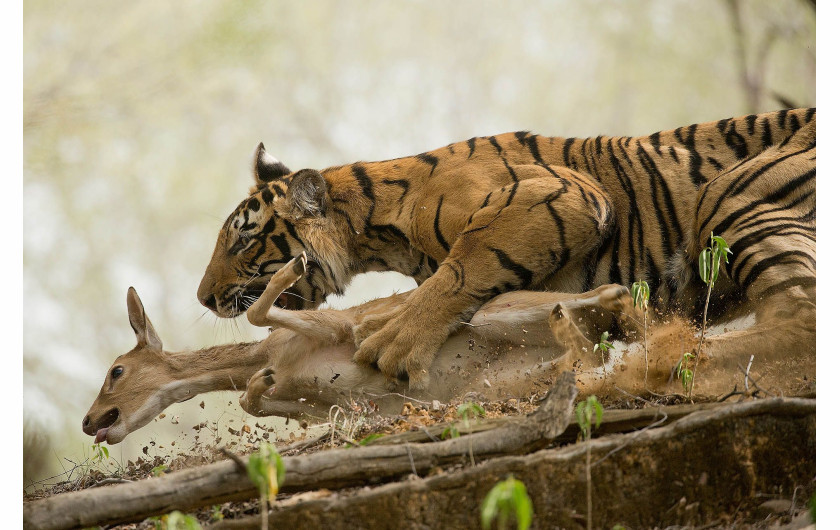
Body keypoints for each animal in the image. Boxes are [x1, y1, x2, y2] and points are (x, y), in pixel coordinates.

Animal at [85, 254, 640, 444]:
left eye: (116, 370)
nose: (91, 422)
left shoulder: (338, 326)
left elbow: (260, 314)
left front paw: (293, 267)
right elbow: (253, 399)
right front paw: (262, 385)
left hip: (497, 313)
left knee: (604, 302)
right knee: (590, 353)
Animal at [197, 107, 812, 388]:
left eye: (244, 237)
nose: (203, 298)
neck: (380, 228)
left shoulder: (563, 192)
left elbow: (464, 266)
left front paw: (396, 339)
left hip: (731, 195)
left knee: (799, 323)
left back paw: (653, 361)